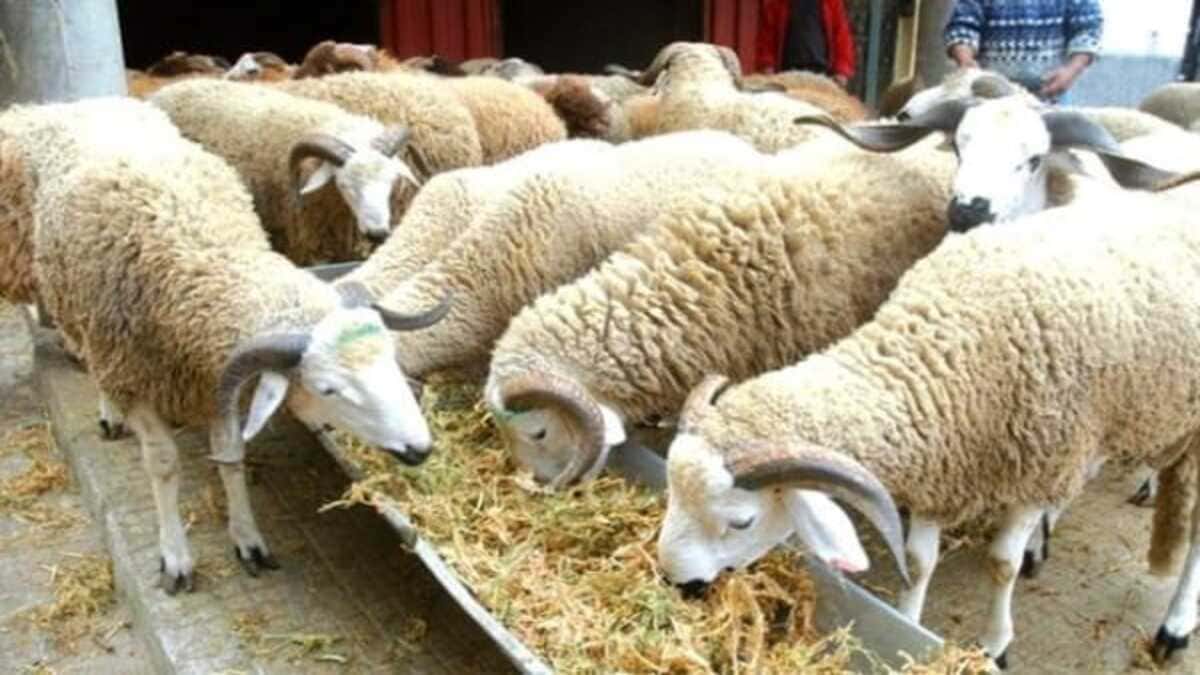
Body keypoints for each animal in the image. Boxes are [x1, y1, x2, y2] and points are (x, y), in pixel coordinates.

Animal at [31, 98, 451, 594]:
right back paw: (109, 413)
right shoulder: (138, 377)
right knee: (93, 361)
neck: (201, 269)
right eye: (327, 389)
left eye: (390, 358)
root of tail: (93, 102)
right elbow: (163, 465)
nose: (421, 448)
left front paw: (247, 538)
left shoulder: (216, 381)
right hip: (82, 317)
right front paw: (175, 556)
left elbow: (232, 457)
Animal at [654, 192, 1200, 668]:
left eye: (741, 522)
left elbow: (1001, 564)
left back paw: (1174, 627)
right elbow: (918, 561)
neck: (946, 347)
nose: (677, 585)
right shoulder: (942, 464)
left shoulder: (1041, 466)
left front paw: (995, 644)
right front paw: (908, 623)